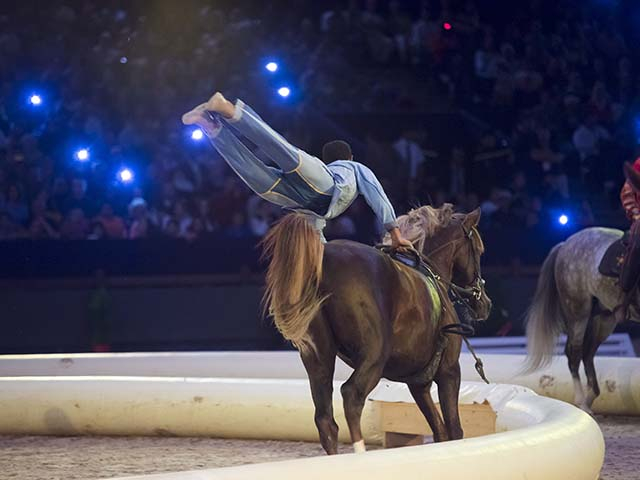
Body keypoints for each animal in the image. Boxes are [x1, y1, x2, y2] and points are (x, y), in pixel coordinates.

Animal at [262, 204, 492, 454]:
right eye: (479, 250)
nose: (485, 304)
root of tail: (324, 260)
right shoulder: (449, 372)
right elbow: (453, 430)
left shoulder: (418, 383)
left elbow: (439, 430)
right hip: (374, 357)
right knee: (351, 395)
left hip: (318, 358)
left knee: (325, 420)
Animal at [524, 227, 640, 413]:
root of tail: (565, 244)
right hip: (578, 313)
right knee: (575, 353)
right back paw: (581, 402)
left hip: (603, 318)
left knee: (588, 353)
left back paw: (590, 396)